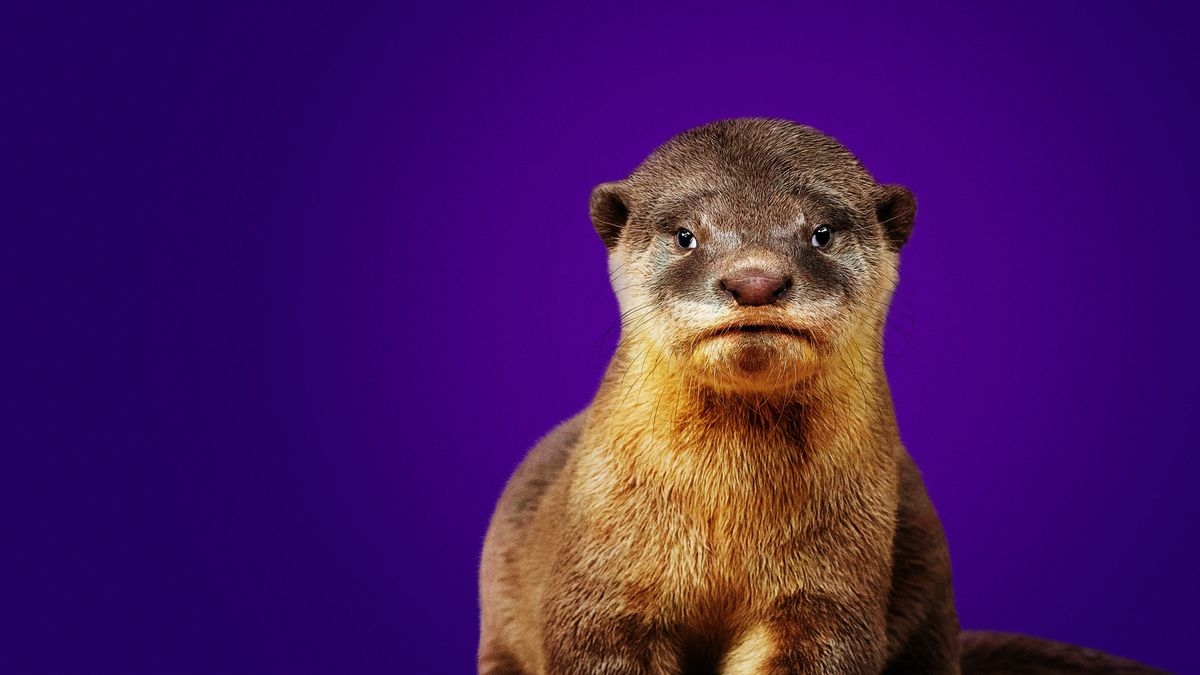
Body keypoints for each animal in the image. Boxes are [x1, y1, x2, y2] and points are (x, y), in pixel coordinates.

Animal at [478, 119, 1161, 675]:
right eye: (685, 235)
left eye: (822, 233)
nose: (755, 280)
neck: (729, 516)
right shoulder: (602, 597)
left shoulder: (828, 596)